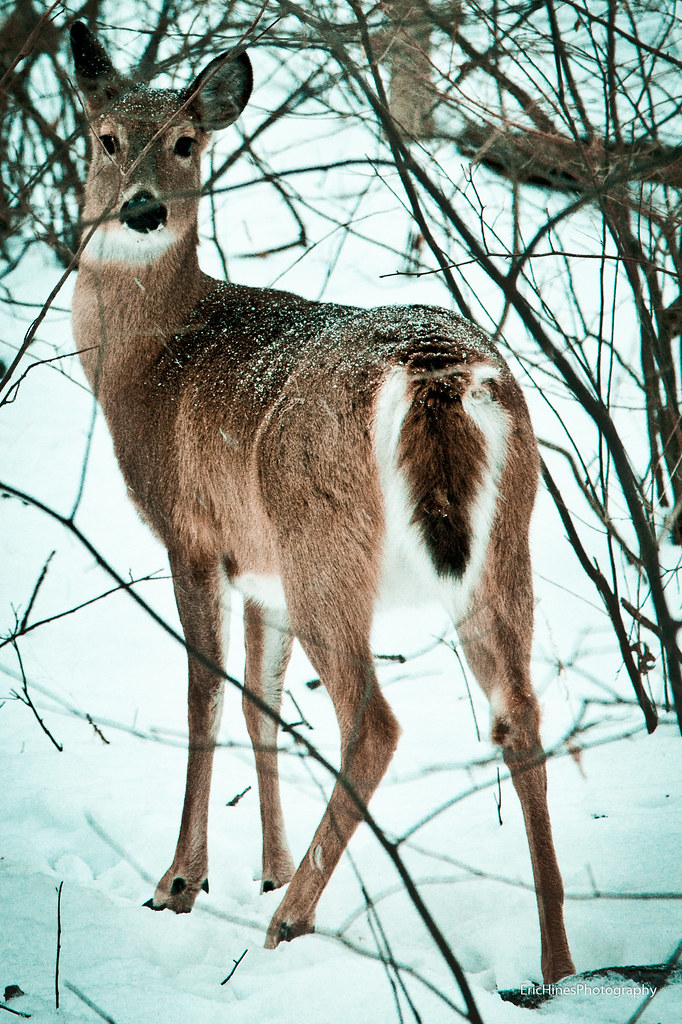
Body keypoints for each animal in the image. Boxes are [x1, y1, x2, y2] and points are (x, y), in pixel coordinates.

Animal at [67, 20, 575, 984]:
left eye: (185, 143)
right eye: (107, 138)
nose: (143, 210)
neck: (148, 360)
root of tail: (435, 370)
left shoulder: (192, 534)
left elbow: (205, 697)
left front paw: (181, 882)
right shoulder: (256, 564)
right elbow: (262, 704)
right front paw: (264, 866)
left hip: (325, 543)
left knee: (374, 723)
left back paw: (292, 921)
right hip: (507, 543)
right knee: (521, 714)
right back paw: (558, 961)